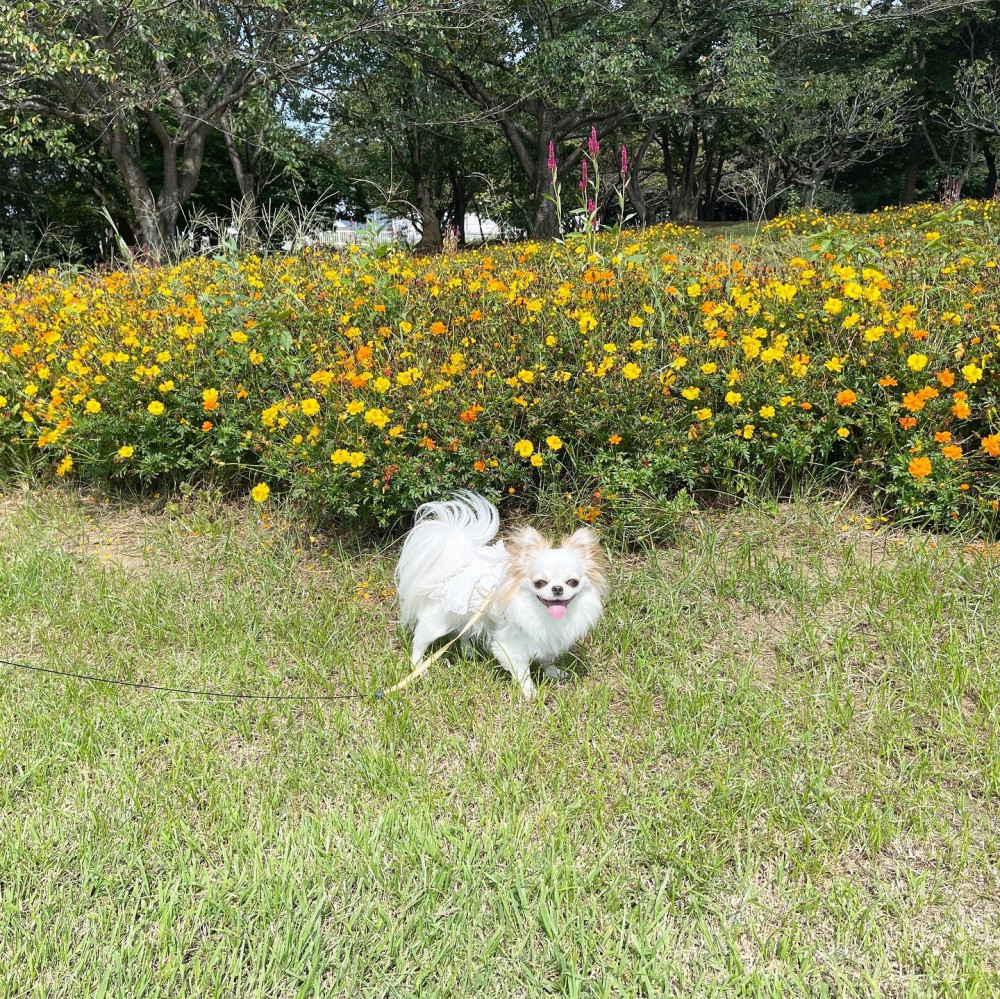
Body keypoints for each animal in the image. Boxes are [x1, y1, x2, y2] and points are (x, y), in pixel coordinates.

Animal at [394, 490, 604, 696]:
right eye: (540, 583)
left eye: (572, 582)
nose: (557, 589)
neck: (543, 613)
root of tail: (457, 561)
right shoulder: (511, 645)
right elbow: (522, 671)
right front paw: (530, 693)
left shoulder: (548, 638)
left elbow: (547, 658)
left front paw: (553, 672)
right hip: (440, 619)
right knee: (420, 638)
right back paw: (417, 667)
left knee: (464, 632)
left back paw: (468, 651)